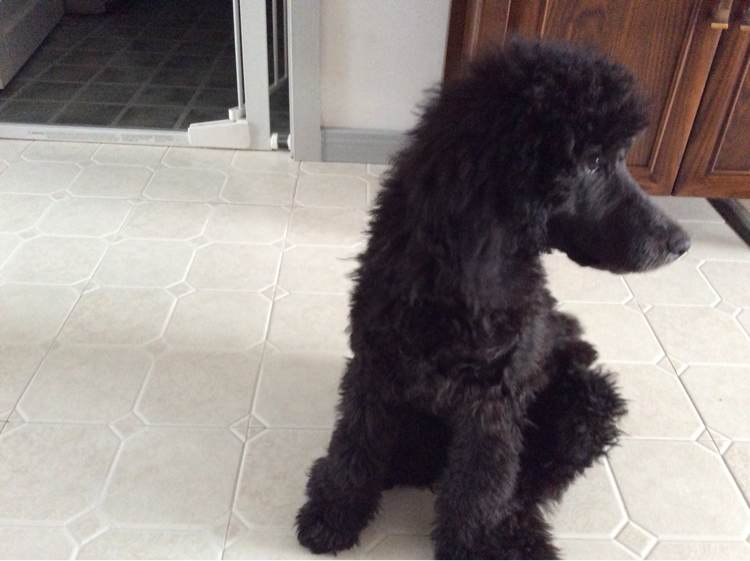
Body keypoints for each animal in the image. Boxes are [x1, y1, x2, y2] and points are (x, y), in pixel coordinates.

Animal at [296, 39, 690, 560]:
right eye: (592, 163)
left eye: (622, 158)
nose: (681, 243)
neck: (453, 285)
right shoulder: (374, 369)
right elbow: (354, 446)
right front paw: (334, 512)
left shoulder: (492, 402)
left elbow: (480, 484)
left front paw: (472, 544)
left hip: (588, 402)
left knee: (530, 483)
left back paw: (517, 534)